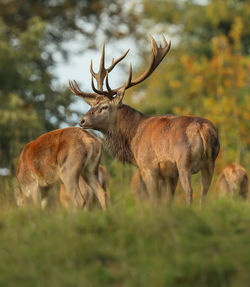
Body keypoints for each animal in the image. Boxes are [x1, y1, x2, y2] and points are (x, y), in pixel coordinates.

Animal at [69, 35, 220, 206]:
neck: (133, 138)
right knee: (205, 192)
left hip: (183, 161)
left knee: (190, 191)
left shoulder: (149, 166)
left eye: (104, 107)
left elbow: (155, 200)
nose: (82, 120)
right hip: (210, 161)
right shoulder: (169, 175)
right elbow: (167, 200)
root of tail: (203, 130)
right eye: (93, 105)